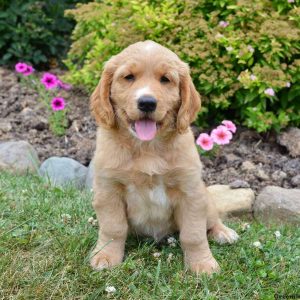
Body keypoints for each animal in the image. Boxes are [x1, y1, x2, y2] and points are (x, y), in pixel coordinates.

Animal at [90, 40, 238, 274]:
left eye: (165, 79)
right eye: (128, 77)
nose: (147, 103)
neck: (147, 147)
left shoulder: (190, 193)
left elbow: (193, 234)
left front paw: (202, 263)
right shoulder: (108, 190)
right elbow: (114, 228)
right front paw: (106, 256)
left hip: (205, 198)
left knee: (212, 220)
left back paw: (223, 232)